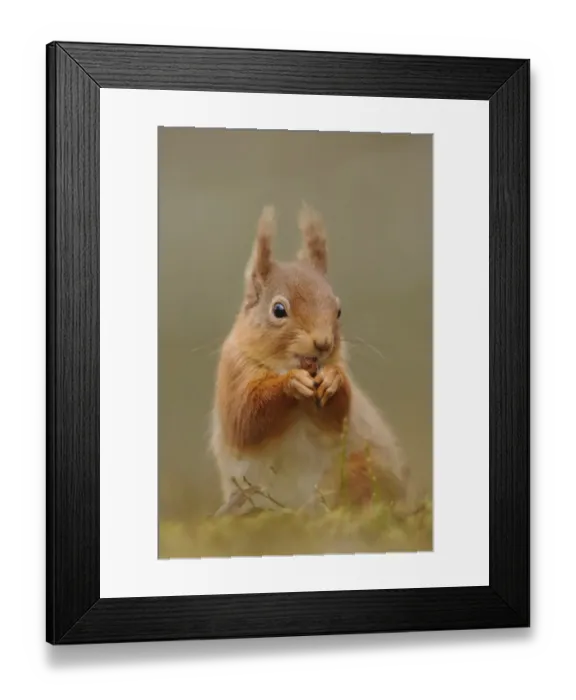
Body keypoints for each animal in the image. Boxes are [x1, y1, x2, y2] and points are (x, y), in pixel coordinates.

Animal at [209, 204, 410, 516]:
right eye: (278, 310)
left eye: (338, 310)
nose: (323, 343)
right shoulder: (234, 372)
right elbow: (246, 417)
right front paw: (290, 384)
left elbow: (338, 416)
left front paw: (332, 380)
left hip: (359, 468)